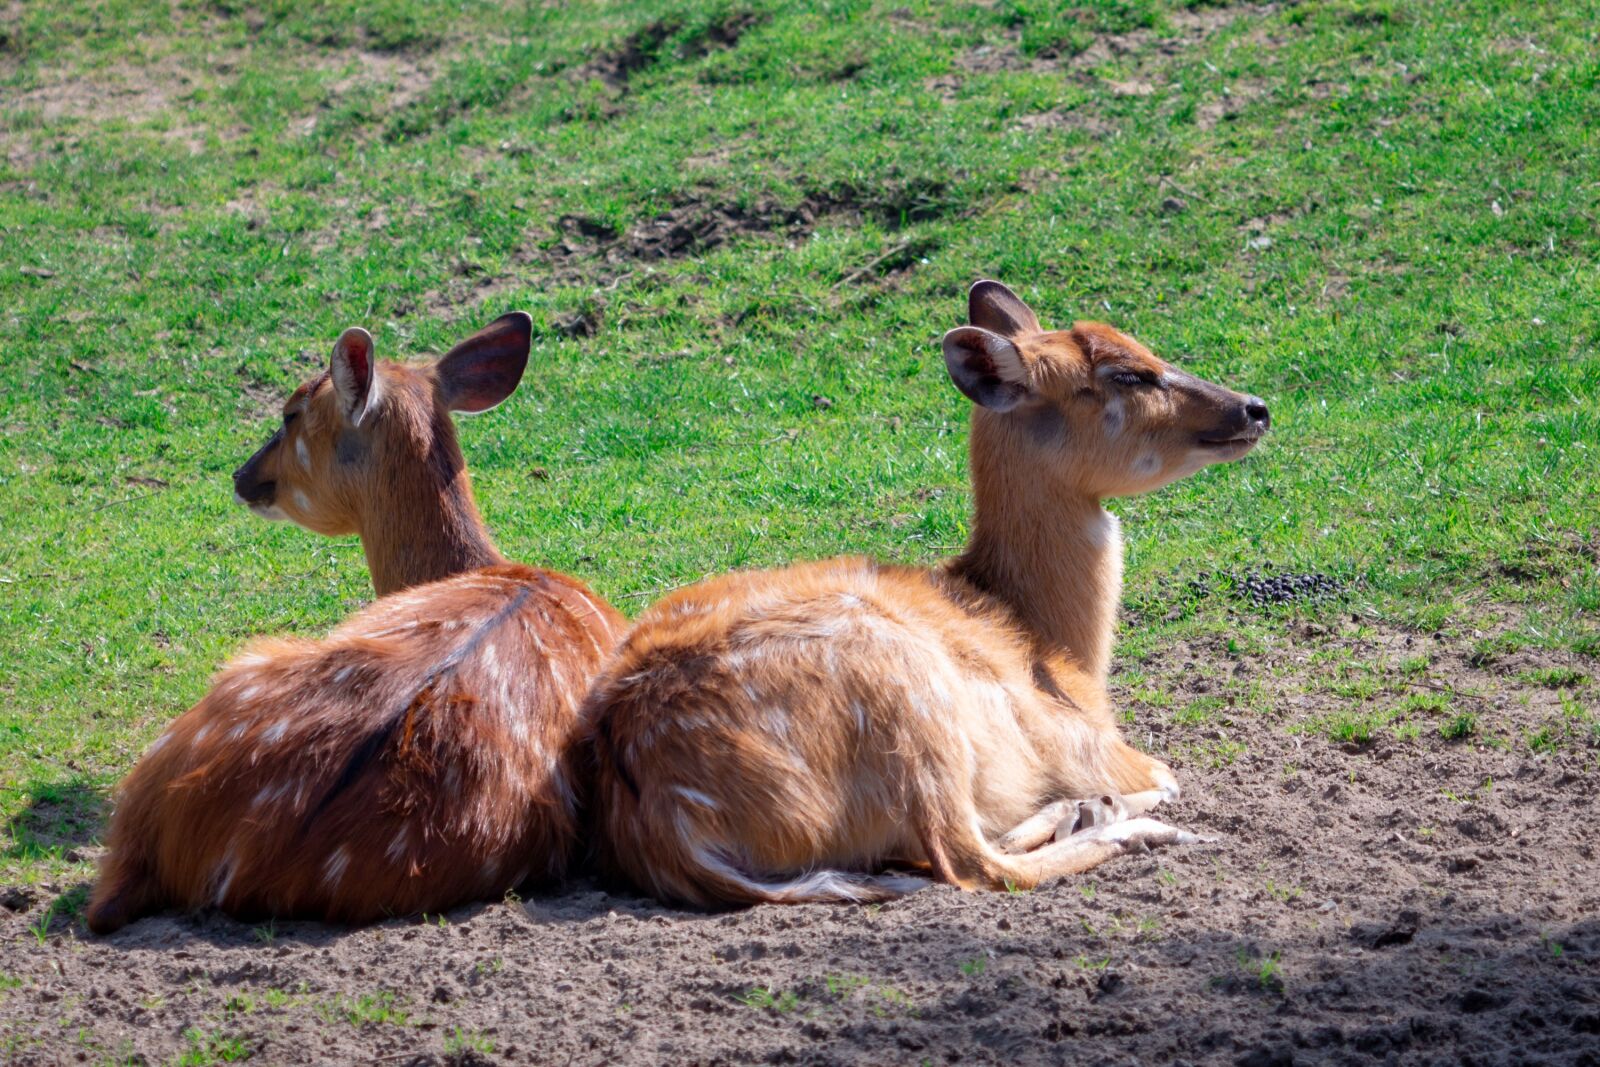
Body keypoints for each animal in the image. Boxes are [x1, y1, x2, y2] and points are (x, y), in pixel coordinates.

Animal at [584, 280, 1270, 906]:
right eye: (1128, 374)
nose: (1254, 408)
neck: (1051, 645)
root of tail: (672, 826)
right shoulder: (1086, 743)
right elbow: (1167, 773)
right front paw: (1123, 804)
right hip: (907, 693)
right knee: (970, 860)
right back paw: (1129, 821)